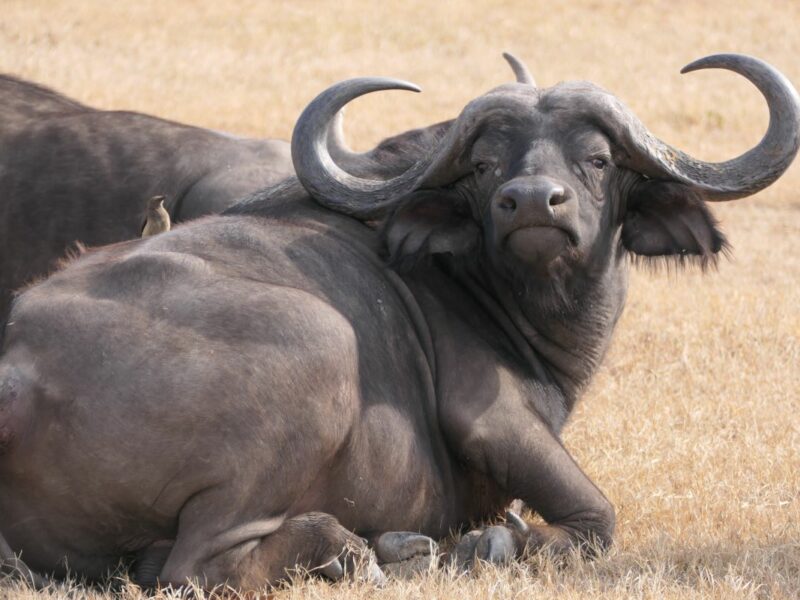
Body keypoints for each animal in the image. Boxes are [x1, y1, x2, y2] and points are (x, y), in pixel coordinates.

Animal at [0, 53, 798, 590]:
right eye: (484, 164)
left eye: (598, 159)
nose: (531, 202)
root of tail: (19, 371)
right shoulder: (492, 418)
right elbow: (597, 519)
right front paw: (493, 544)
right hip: (320, 340)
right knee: (195, 567)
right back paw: (358, 549)